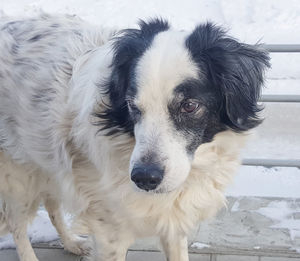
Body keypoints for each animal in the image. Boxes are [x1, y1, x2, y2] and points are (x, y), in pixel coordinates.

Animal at [0, 14, 270, 260]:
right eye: (131, 104)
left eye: (189, 106)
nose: (144, 178)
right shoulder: (109, 234)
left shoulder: (173, 220)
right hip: (18, 179)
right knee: (17, 225)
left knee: (52, 205)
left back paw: (71, 243)